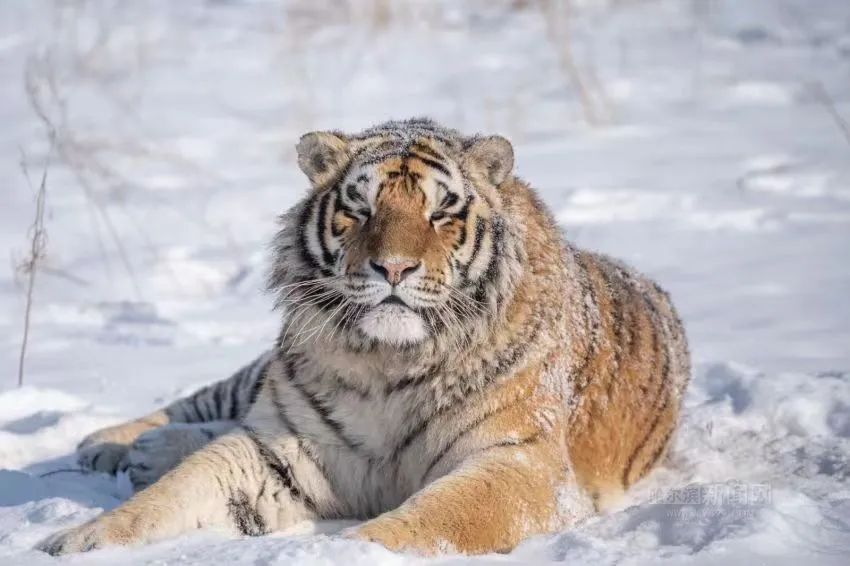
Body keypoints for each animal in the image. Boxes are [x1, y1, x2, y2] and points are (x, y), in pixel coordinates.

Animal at [38, 117, 688, 556]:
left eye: (441, 213)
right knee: (206, 403)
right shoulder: (284, 452)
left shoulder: (518, 462)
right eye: (360, 209)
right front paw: (79, 541)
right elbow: (177, 492)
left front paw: (345, 552)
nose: (392, 268)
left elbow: (432, 519)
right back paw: (115, 443)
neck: (390, 363)